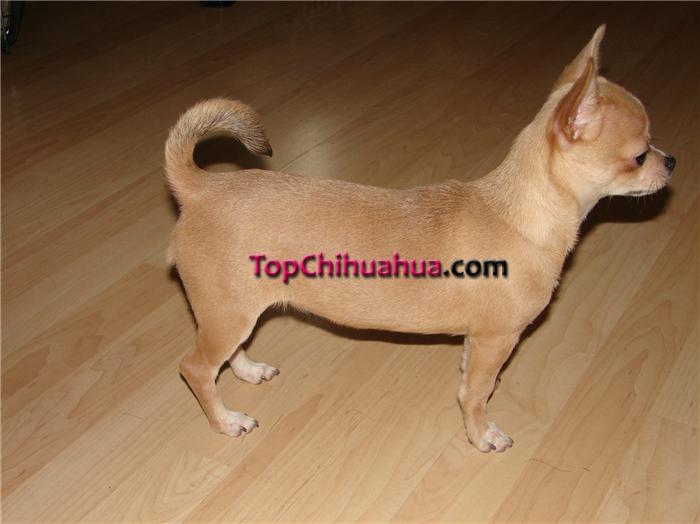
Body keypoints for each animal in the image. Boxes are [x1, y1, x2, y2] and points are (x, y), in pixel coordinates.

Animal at [165, 25, 675, 452]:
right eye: (639, 155)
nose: (671, 161)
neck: (517, 214)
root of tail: (201, 187)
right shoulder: (497, 339)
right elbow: (476, 395)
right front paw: (482, 434)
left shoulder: (478, 341)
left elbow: (471, 380)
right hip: (228, 312)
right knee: (196, 369)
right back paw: (226, 421)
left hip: (236, 311)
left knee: (228, 354)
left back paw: (249, 371)